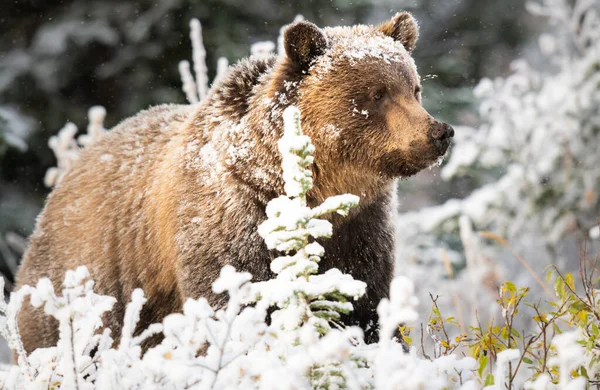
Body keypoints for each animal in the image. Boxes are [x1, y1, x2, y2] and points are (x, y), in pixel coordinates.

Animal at [15, 12, 454, 354]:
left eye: (414, 88)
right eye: (376, 94)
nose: (439, 132)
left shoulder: (360, 229)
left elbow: (362, 304)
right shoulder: (230, 228)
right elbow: (235, 303)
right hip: (93, 280)